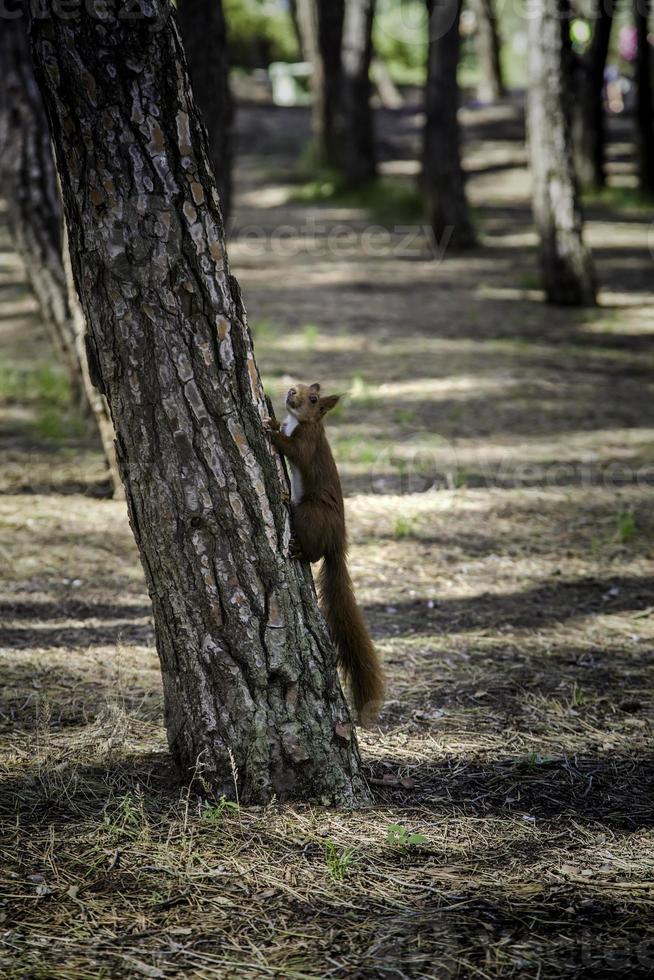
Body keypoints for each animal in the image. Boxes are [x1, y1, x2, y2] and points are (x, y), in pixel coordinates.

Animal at [266, 382, 384, 728]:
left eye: (314, 398)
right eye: (300, 386)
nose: (290, 391)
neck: (301, 422)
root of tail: (337, 541)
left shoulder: (308, 443)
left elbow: (294, 451)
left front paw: (270, 430)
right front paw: (274, 421)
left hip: (311, 513)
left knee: (314, 553)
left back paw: (296, 542)